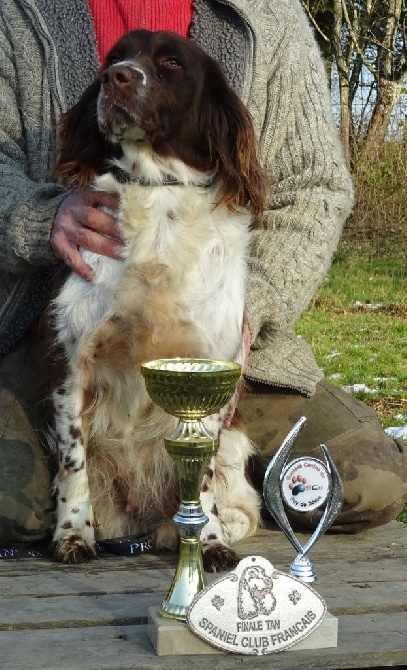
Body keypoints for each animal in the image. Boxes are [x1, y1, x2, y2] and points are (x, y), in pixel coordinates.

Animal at [50, 28, 268, 568]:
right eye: (115, 56)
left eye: (171, 62)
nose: (117, 77)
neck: (158, 196)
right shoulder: (72, 369)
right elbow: (73, 463)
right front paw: (73, 534)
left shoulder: (212, 373)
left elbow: (204, 481)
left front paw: (208, 541)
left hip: (235, 439)